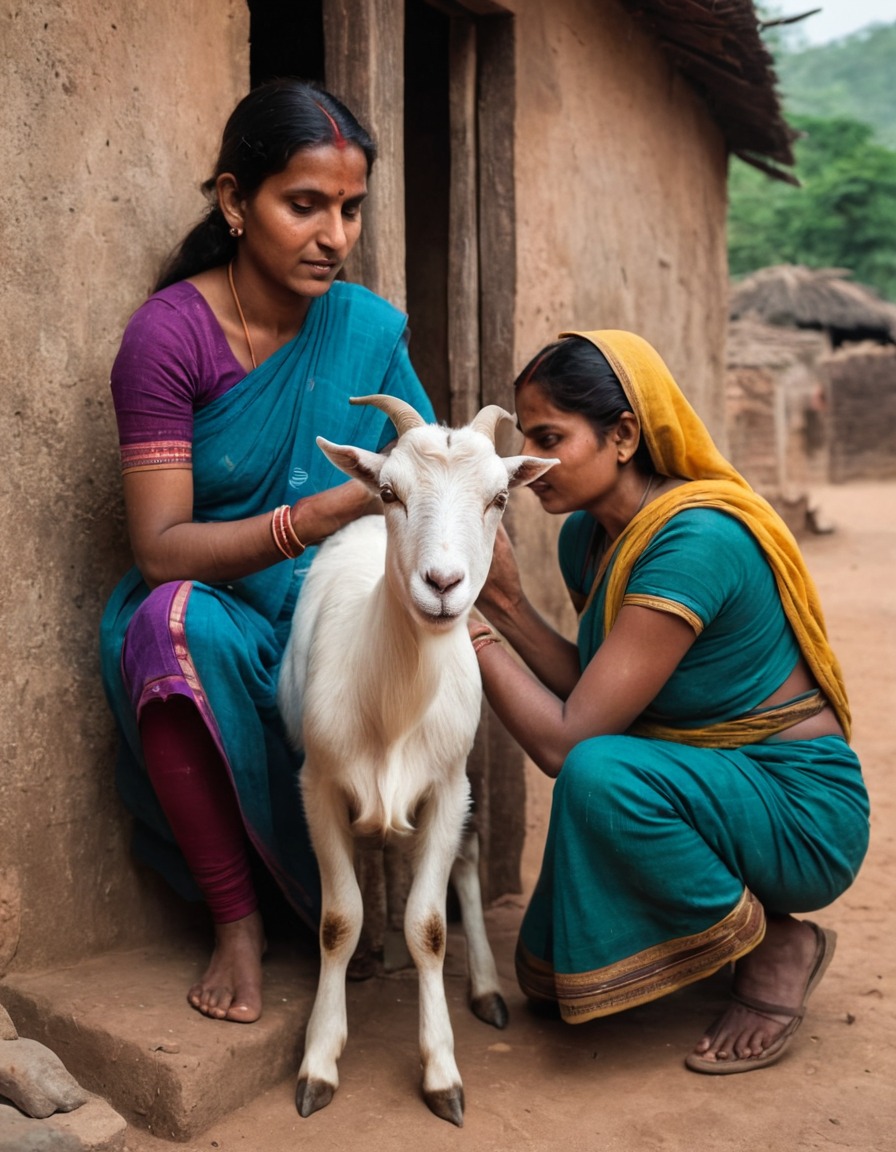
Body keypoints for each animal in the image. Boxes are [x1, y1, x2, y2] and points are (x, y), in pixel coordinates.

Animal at [275, 393, 550, 1124]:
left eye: (500, 498)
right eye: (391, 491)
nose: (444, 583)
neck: (392, 704)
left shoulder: (447, 785)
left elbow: (428, 926)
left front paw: (442, 1075)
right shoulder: (317, 786)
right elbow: (339, 921)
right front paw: (319, 1063)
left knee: (470, 853)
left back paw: (486, 988)